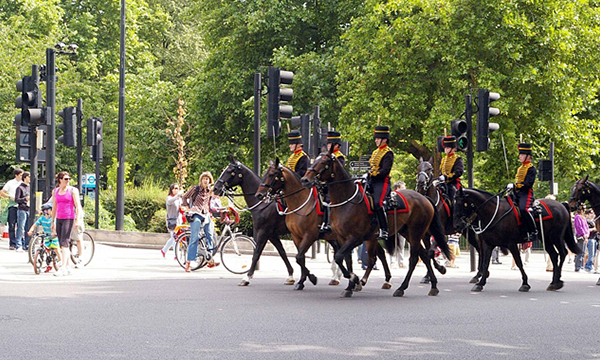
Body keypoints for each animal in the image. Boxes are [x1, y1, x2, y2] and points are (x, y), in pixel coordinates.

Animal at [213, 155, 296, 286]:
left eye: (230, 171)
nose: (215, 188)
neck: (262, 204)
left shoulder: (264, 232)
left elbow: (256, 253)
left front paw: (246, 277)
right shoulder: (272, 235)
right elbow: (282, 252)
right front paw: (291, 275)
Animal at [253, 159, 390, 292]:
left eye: (271, 174)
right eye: (265, 174)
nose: (259, 195)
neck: (301, 203)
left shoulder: (309, 235)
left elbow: (298, 257)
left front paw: (312, 278)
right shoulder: (296, 236)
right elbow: (300, 258)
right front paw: (302, 281)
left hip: (367, 237)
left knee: (372, 257)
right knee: (375, 254)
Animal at [302, 152, 448, 298]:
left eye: (324, 162)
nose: (305, 179)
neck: (347, 201)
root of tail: (424, 198)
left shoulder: (356, 238)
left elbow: (339, 257)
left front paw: (355, 279)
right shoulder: (342, 238)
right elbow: (346, 259)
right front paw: (350, 286)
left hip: (416, 233)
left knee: (414, 258)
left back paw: (401, 287)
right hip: (407, 232)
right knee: (424, 255)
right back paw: (433, 285)